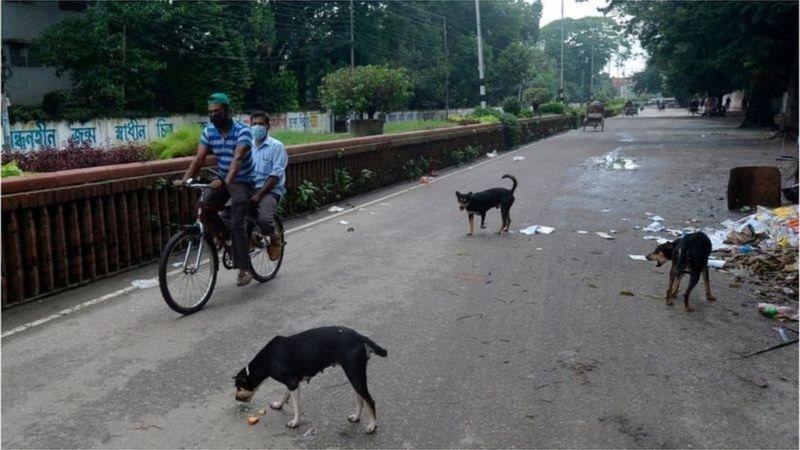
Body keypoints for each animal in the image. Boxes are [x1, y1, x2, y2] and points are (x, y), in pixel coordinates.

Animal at [231, 326, 388, 432]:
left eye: (238, 387)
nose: (236, 398)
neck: (267, 359)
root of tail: (359, 336)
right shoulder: (291, 382)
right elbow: (285, 395)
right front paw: (278, 405)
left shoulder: (292, 383)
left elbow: (296, 406)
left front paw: (295, 422)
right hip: (354, 375)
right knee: (360, 399)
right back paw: (356, 417)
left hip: (354, 374)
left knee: (370, 401)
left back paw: (372, 426)